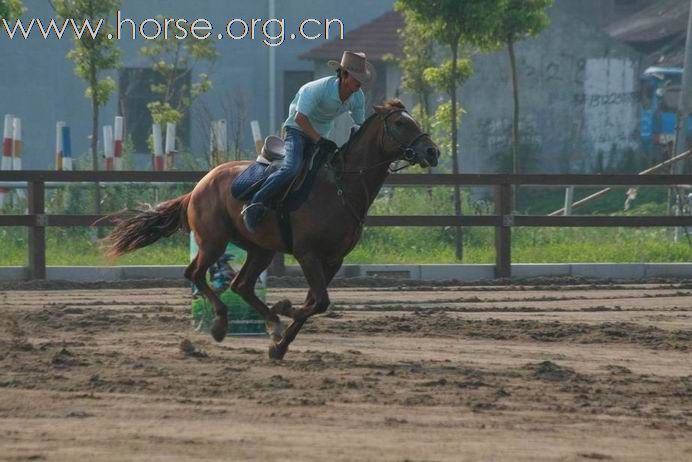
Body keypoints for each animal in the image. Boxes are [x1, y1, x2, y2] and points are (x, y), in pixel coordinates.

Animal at [104, 100, 438, 360]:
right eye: (400, 123)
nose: (432, 151)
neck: (341, 186)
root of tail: (199, 185)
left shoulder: (333, 259)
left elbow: (315, 302)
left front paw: (279, 343)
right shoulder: (307, 254)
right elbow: (318, 302)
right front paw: (284, 309)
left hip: (259, 250)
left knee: (241, 285)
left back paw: (270, 322)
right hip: (213, 242)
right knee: (196, 275)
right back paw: (222, 324)